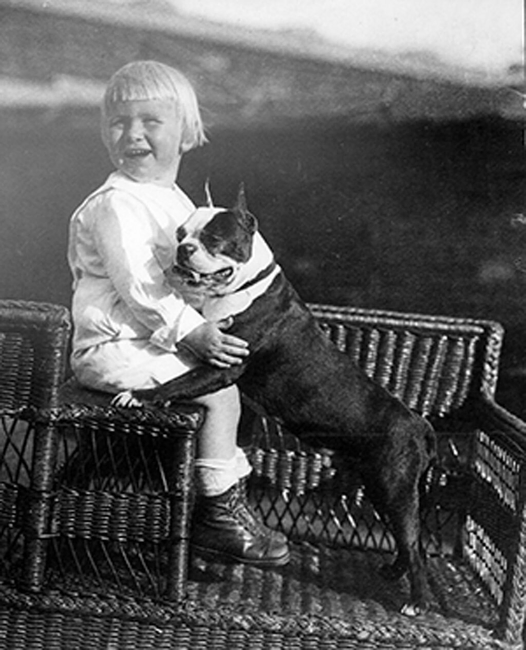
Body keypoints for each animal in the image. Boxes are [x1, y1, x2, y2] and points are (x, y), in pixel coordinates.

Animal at [115, 184, 438, 612]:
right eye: (182, 232)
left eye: (214, 238)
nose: (183, 248)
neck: (244, 286)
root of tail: (418, 423)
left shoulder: (222, 365)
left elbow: (180, 381)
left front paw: (142, 395)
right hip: (380, 488)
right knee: (404, 541)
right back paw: (393, 573)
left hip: (394, 487)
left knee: (414, 545)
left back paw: (417, 601)